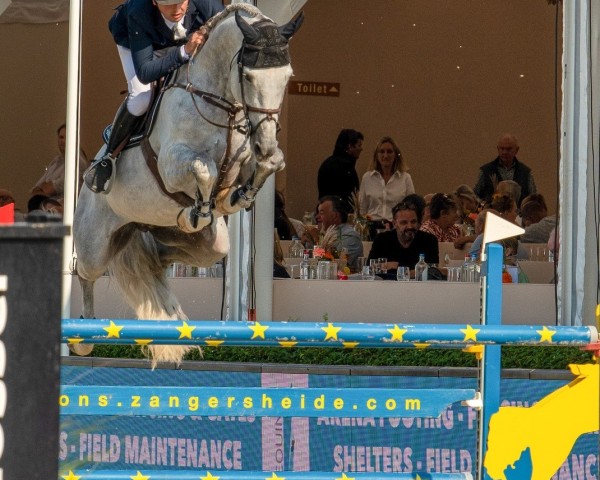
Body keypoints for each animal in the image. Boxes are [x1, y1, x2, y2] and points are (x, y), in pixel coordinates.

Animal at [72, 4, 302, 364]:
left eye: (288, 77)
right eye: (249, 77)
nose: (264, 141)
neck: (219, 101)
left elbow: (269, 163)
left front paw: (237, 196)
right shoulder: (172, 163)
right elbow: (204, 168)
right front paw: (206, 206)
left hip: (206, 245)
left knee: (165, 257)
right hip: (94, 243)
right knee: (85, 274)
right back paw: (82, 338)